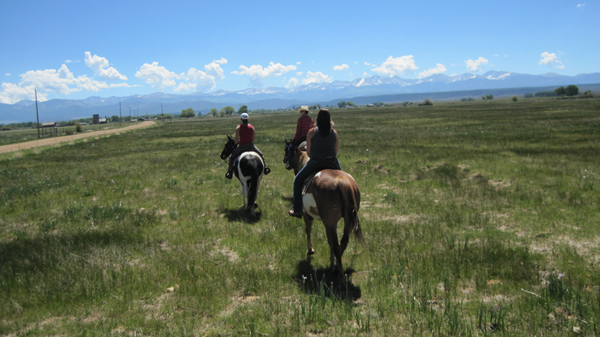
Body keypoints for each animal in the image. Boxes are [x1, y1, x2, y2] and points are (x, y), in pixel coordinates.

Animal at [284, 139, 364, 276]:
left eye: (288, 150)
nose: (286, 163)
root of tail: (341, 181)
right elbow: (329, 240)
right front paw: (332, 262)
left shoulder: (307, 214)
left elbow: (308, 230)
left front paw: (310, 249)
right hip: (346, 220)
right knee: (342, 242)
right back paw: (336, 266)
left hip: (329, 221)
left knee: (336, 244)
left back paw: (340, 274)